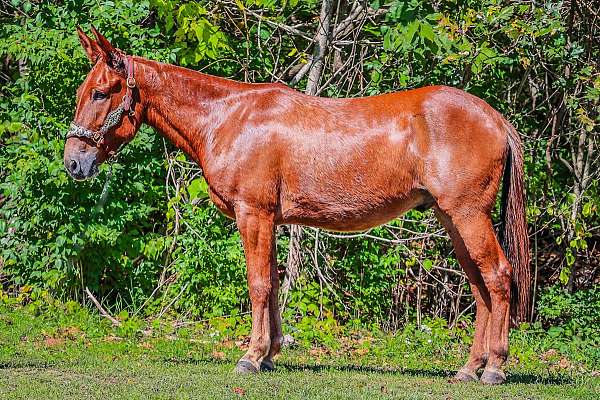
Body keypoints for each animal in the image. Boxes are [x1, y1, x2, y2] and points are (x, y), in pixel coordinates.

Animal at [65, 28, 528, 384]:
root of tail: (495, 117)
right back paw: (469, 367)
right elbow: (271, 283)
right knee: (479, 286)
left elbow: (258, 284)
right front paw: (269, 354)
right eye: (83, 92)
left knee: (498, 277)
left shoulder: (253, 214)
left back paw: (494, 367)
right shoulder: (269, 219)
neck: (227, 118)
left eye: (101, 93)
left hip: (468, 215)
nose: (73, 162)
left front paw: (250, 356)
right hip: (452, 218)